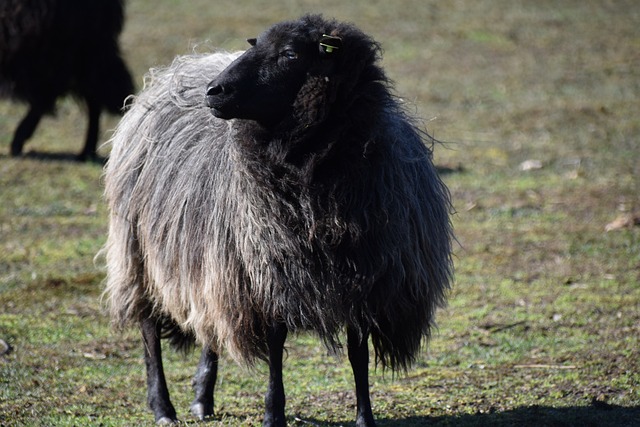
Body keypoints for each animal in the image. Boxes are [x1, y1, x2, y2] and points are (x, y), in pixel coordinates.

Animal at [104, 15, 456, 426]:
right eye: (256, 46)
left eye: (289, 54)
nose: (214, 91)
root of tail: (183, 68)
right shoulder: (265, 273)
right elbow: (274, 350)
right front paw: (273, 414)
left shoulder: (363, 279)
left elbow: (358, 354)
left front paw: (364, 417)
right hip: (140, 251)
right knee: (148, 328)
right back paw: (163, 407)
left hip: (210, 258)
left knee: (210, 324)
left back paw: (202, 399)